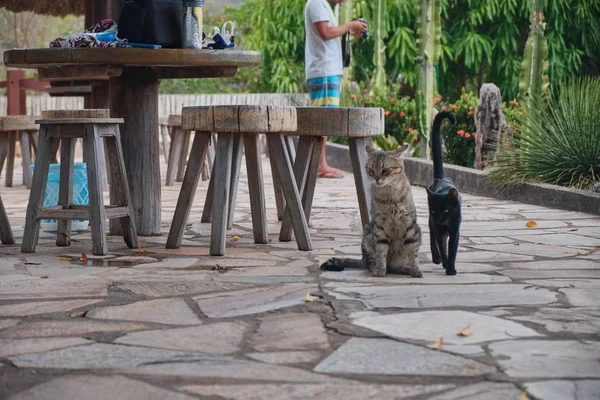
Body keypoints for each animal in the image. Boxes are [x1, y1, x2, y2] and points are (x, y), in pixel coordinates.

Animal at [318, 144, 422, 278]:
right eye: (371, 170)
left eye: (385, 170)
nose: (377, 179)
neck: (390, 198)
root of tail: (362, 260)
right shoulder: (380, 227)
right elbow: (381, 252)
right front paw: (379, 271)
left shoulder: (410, 227)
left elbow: (413, 253)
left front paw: (415, 270)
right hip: (367, 235)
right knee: (372, 263)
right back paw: (377, 268)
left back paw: (405, 268)